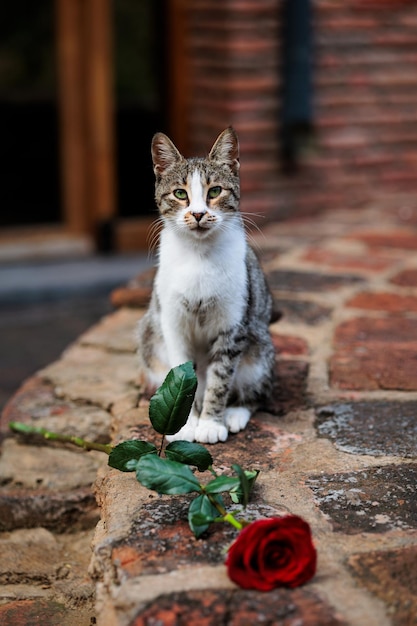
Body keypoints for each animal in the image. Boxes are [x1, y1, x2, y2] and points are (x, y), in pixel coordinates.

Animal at [136, 124, 278, 442]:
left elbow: (221, 378)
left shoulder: (233, 324)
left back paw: (235, 413)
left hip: (259, 348)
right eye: (180, 193)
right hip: (150, 338)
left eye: (215, 191)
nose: (199, 213)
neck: (198, 257)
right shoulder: (172, 323)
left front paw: (212, 423)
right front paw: (184, 424)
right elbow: (181, 377)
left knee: (256, 391)